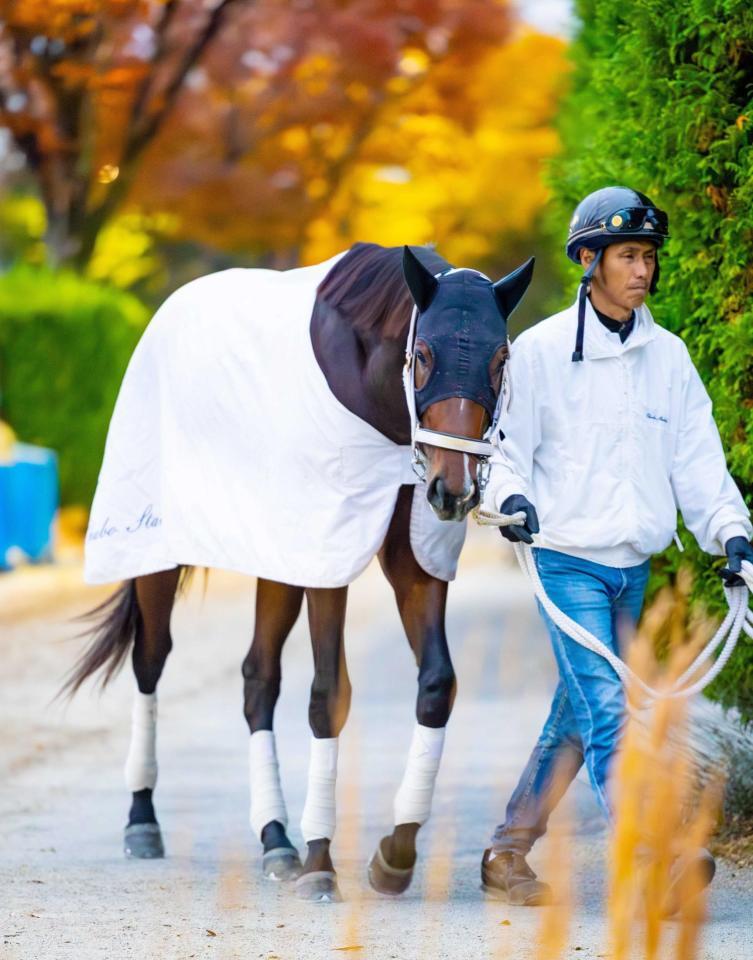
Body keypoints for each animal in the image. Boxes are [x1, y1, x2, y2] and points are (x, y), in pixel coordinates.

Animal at [66, 242, 534, 902]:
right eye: (423, 354)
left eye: (500, 358)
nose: (454, 489)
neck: (372, 399)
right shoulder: (327, 563)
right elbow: (328, 695)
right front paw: (320, 861)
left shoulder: (413, 562)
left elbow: (437, 685)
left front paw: (394, 853)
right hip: (159, 553)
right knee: (150, 662)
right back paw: (143, 821)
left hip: (279, 560)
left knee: (258, 680)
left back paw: (275, 840)